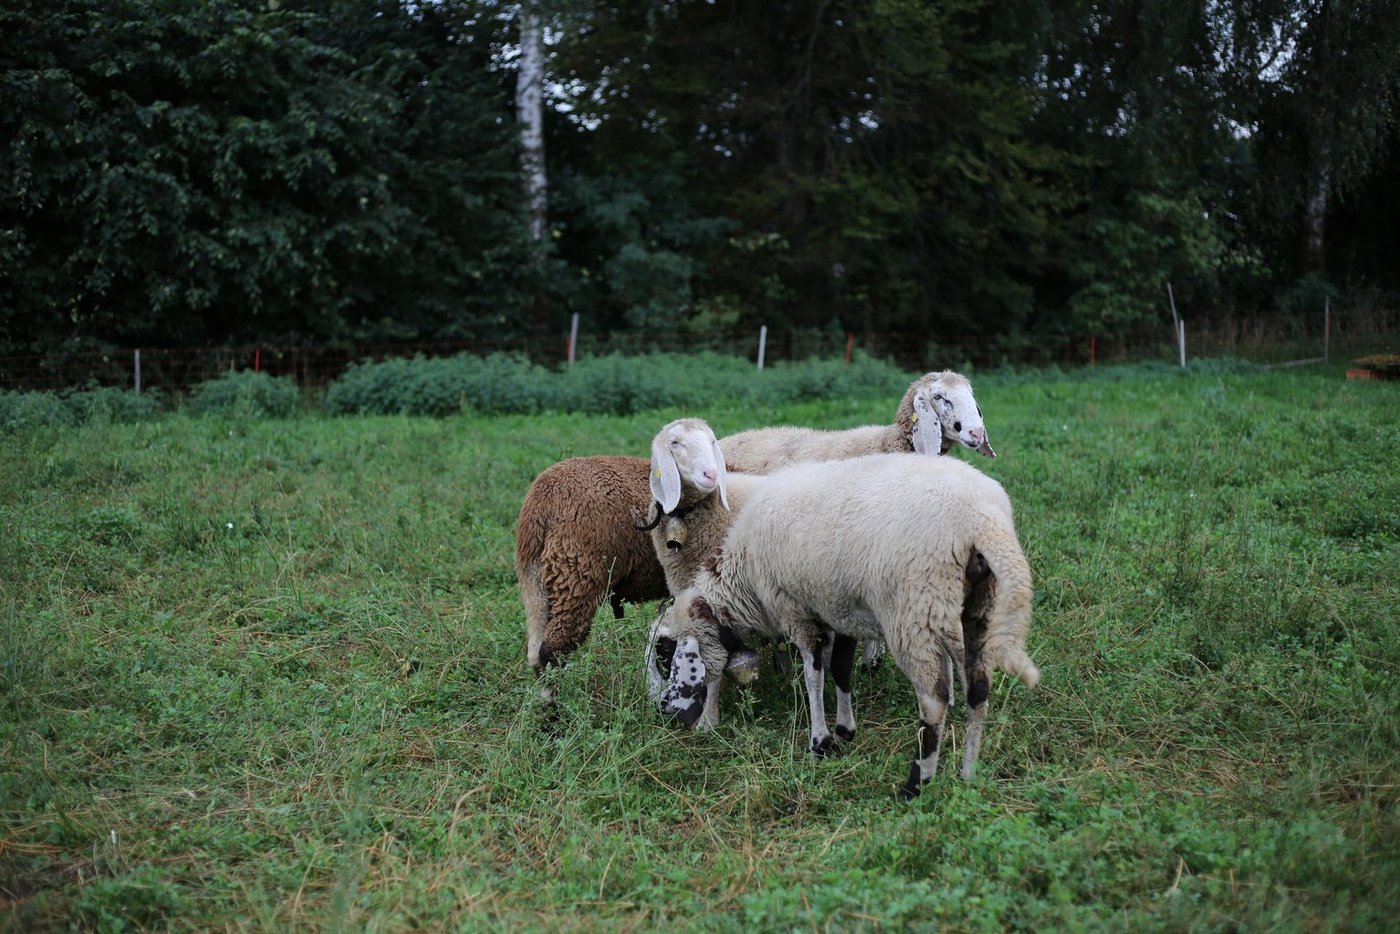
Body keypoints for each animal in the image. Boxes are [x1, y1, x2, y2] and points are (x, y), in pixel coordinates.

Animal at [649, 452, 1040, 800]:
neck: (744, 582)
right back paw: (968, 774)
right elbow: (840, 670)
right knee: (978, 690)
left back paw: (916, 785)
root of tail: (982, 517)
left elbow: (814, 677)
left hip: (915, 608)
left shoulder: (797, 611)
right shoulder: (839, 609)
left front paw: (819, 742)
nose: (663, 708)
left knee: (933, 701)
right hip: (976, 608)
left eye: (664, 653)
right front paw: (844, 729)